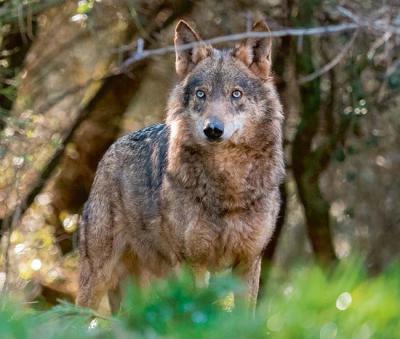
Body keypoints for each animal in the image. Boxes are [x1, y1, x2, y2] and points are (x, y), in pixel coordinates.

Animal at [76, 18, 284, 312]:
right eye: (201, 94)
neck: (228, 188)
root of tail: (113, 147)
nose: (213, 130)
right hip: (99, 276)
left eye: (236, 94)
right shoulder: (193, 263)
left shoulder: (249, 261)